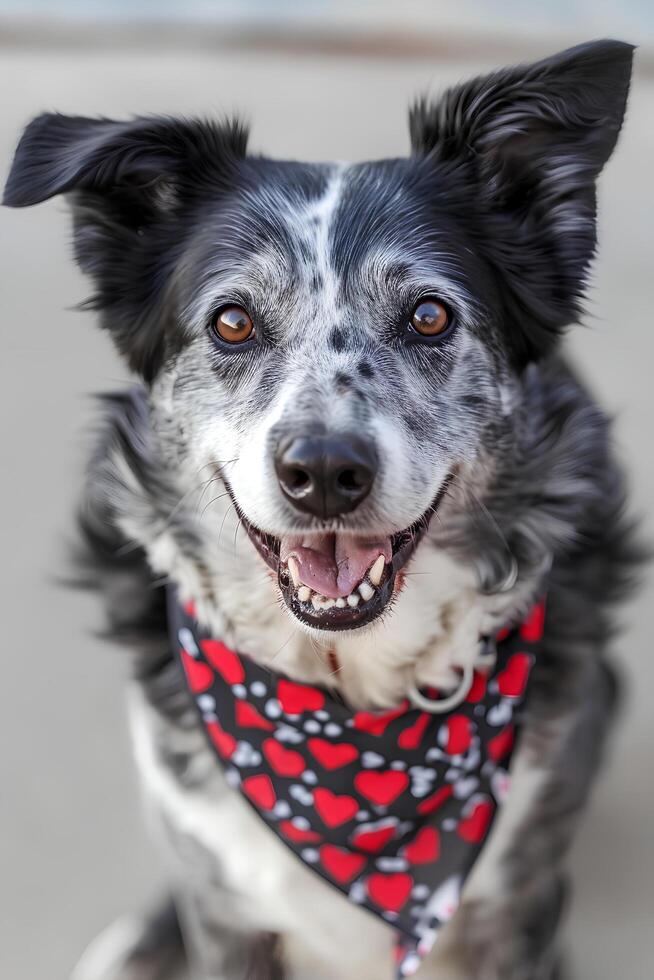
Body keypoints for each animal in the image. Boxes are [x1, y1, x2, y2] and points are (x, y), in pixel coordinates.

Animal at [3, 38, 640, 980]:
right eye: (232, 322)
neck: (347, 696)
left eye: (429, 316)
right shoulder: (223, 905)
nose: (326, 472)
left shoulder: (517, 902)